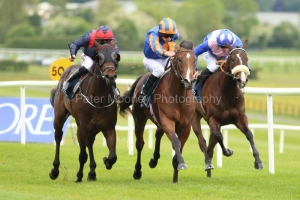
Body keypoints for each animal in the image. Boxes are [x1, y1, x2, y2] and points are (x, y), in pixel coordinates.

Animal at [48, 41, 120, 182]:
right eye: (99, 57)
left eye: (116, 57)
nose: (110, 76)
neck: (99, 99)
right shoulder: (81, 127)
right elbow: (82, 155)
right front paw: (79, 176)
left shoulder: (109, 127)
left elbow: (113, 156)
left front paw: (106, 161)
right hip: (59, 116)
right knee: (58, 136)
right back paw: (55, 170)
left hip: (92, 128)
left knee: (89, 142)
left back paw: (92, 172)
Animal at [118, 39, 198, 182]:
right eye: (179, 60)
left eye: (194, 60)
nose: (189, 81)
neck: (179, 96)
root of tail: (141, 78)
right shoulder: (167, 120)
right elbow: (176, 142)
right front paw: (181, 163)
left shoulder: (186, 126)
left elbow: (180, 145)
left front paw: (176, 167)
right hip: (139, 119)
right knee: (140, 143)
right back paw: (137, 171)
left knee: (158, 134)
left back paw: (154, 160)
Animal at [191, 40, 264, 177]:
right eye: (233, 59)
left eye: (246, 59)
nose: (242, 80)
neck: (227, 92)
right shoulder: (213, 119)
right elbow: (219, 137)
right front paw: (227, 151)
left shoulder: (240, 117)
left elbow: (249, 134)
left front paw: (258, 161)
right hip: (195, 118)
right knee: (203, 141)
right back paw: (208, 163)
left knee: (210, 147)